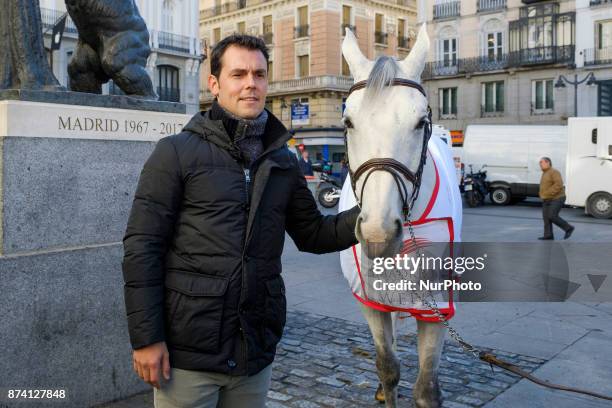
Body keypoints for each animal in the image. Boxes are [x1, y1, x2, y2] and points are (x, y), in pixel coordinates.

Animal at [340, 25, 464, 408]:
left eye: (421, 121)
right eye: (348, 121)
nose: (378, 236)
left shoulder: (438, 306)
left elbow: (426, 390)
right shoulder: (370, 301)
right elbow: (388, 366)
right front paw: (386, 386)